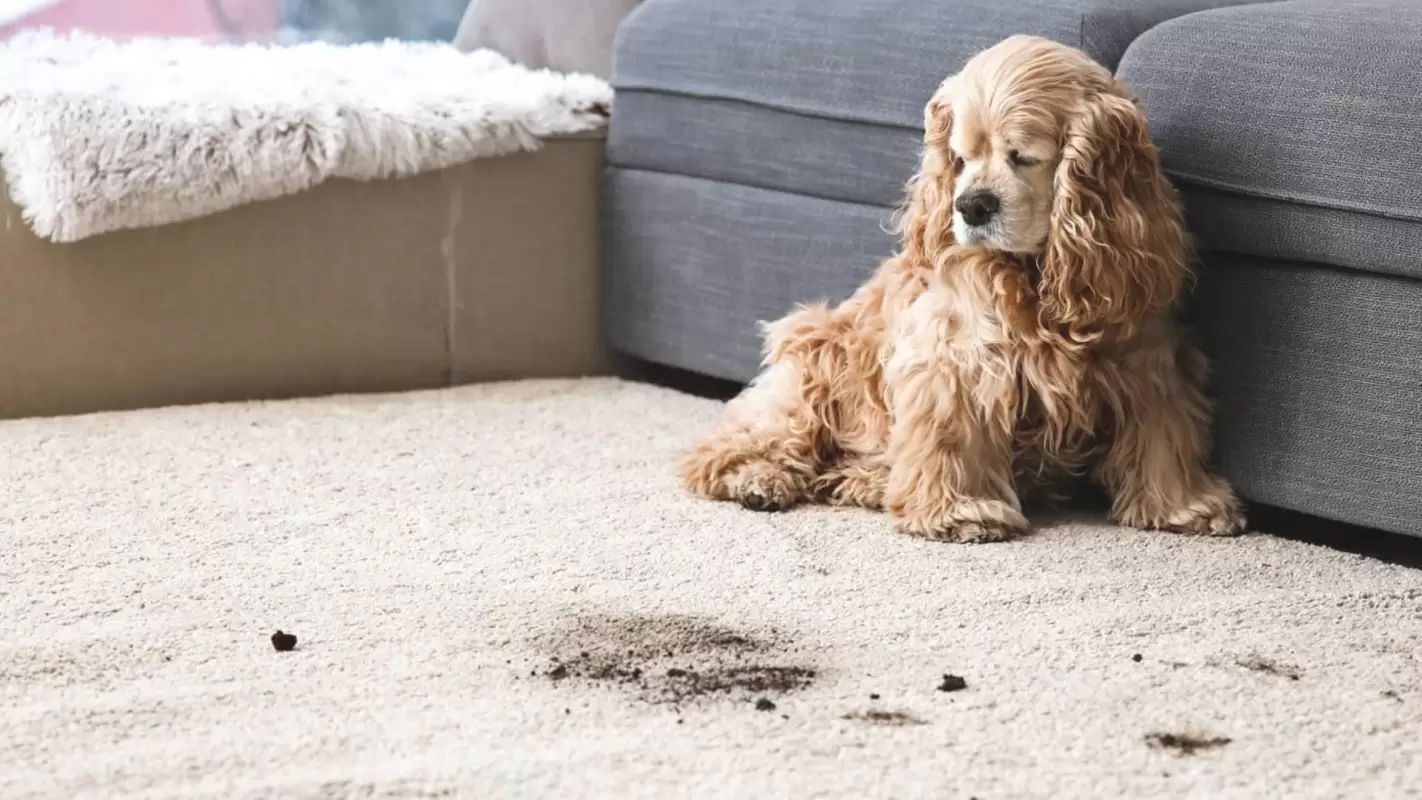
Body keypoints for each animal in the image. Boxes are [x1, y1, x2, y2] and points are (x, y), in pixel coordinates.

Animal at [676, 34, 1245, 542]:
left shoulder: (1147, 358)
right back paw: (756, 478)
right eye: (961, 157)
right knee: (732, 443)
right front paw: (959, 513)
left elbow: (1163, 435)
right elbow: (953, 434)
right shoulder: (958, 358)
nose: (970, 205)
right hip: (813, 363)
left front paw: (1184, 506)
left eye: (1022, 156)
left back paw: (866, 481)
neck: (1035, 275)